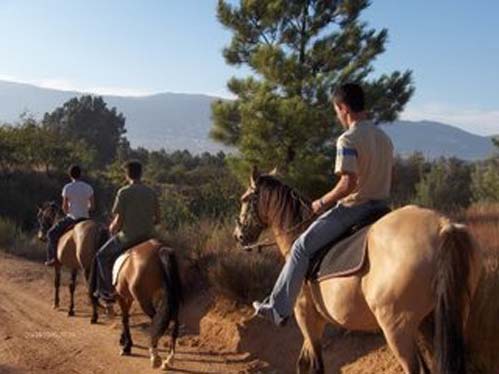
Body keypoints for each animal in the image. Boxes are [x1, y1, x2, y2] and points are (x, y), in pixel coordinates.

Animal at [108, 240, 183, 372]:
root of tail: (159, 249)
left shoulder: (122, 297)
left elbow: (124, 319)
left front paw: (126, 347)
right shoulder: (129, 298)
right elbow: (125, 318)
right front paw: (125, 342)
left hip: (145, 302)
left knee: (155, 322)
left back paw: (155, 357)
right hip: (171, 298)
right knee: (175, 323)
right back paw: (168, 360)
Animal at [234, 169, 484, 374]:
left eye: (245, 199)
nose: (239, 236)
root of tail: (443, 227)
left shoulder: (305, 315)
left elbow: (315, 365)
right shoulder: (316, 321)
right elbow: (304, 363)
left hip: (397, 327)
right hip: (437, 320)